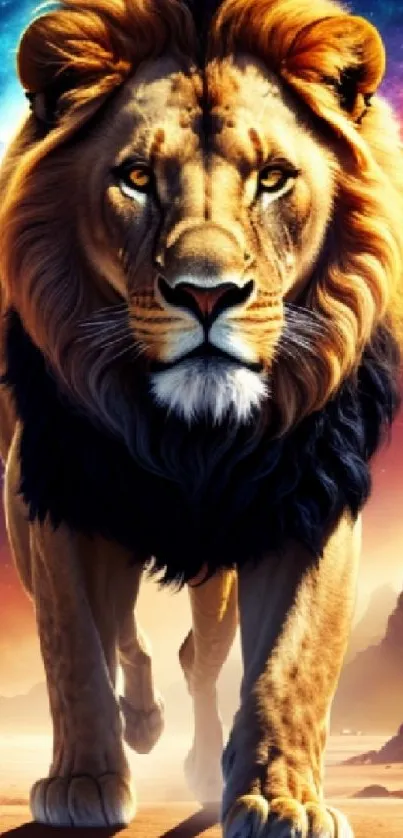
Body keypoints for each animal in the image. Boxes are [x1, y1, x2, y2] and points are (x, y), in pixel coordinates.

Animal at [0, 0, 402, 834]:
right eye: (136, 179)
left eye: (273, 179)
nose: (207, 293)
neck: (188, 438)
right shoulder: (52, 488)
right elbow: (72, 644)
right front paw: (83, 779)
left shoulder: (308, 493)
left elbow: (294, 658)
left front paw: (280, 797)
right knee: (124, 633)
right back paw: (144, 724)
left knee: (198, 653)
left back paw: (197, 760)